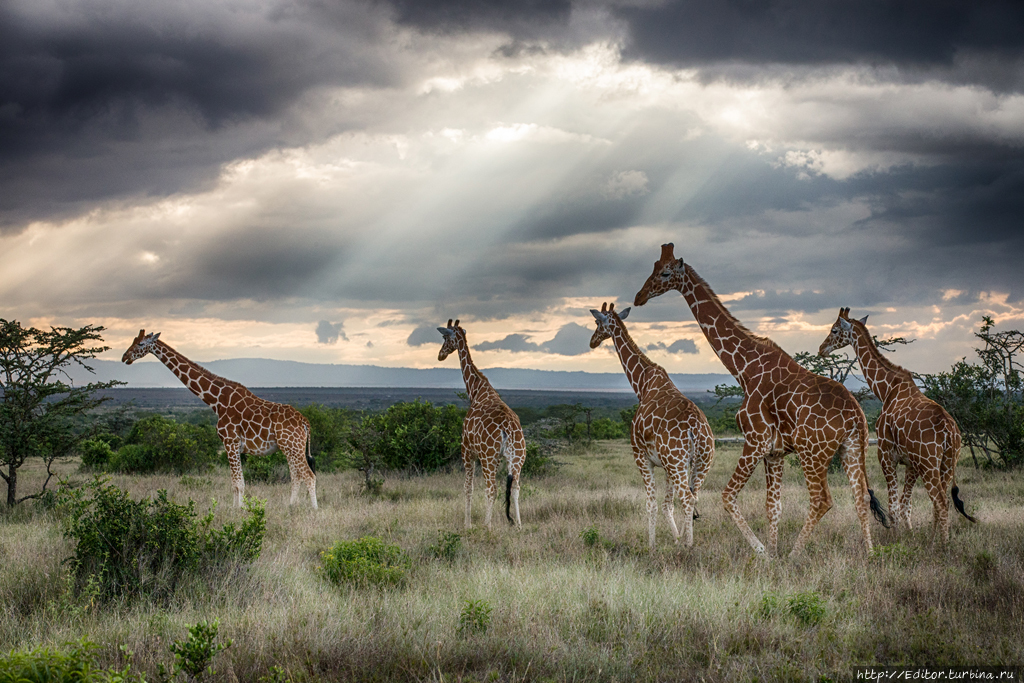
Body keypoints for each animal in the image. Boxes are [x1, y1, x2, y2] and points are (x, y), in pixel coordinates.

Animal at [119, 331, 313, 507]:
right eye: (133, 340)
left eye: (141, 344)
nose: (124, 357)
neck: (217, 401)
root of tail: (305, 422)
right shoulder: (233, 445)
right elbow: (236, 483)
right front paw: (237, 509)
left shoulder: (230, 442)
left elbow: (238, 483)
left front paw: (238, 511)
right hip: (289, 448)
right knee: (296, 477)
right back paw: (291, 506)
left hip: (293, 447)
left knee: (309, 476)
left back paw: (314, 509)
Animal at [434, 319, 524, 528]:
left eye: (445, 338)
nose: (440, 355)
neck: (476, 390)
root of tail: (507, 428)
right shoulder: (496, 457)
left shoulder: (467, 450)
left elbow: (468, 488)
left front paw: (467, 524)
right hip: (517, 457)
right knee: (515, 488)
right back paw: (519, 525)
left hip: (488, 457)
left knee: (492, 489)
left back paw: (487, 526)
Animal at [589, 301, 716, 548]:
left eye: (598, 322)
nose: (592, 341)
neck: (643, 383)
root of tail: (696, 429)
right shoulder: (666, 466)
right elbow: (667, 505)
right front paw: (676, 539)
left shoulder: (641, 456)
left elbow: (651, 505)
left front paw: (652, 546)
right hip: (702, 461)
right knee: (693, 496)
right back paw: (687, 541)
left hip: (678, 462)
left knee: (687, 498)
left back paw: (690, 546)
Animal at [630, 242, 888, 557]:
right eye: (654, 266)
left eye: (666, 273)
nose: (639, 296)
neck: (745, 368)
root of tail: (856, 415)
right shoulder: (774, 452)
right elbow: (773, 507)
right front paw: (772, 552)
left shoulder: (756, 440)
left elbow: (728, 497)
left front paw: (764, 552)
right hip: (851, 448)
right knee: (861, 497)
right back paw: (870, 554)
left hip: (813, 452)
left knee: (822, 500)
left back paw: (794, 555)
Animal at [815, 307, 974, 540]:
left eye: (834, 330)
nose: (821, 349)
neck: (887, 389)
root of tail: (949, 431)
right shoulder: (911, 463)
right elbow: (905, 504)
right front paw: (910, 536)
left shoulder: (886, 454)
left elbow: (893, 506)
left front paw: (897, 538)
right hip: (947, 462)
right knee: (940, 502)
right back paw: (934, 539)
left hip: (929, 463)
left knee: (941, 501)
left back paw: (941, 544)